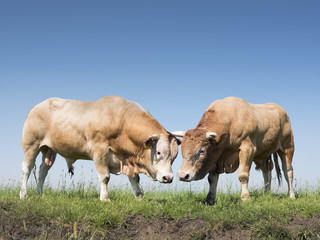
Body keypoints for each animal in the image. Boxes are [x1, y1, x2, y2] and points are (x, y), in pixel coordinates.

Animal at [20, 95, 180, 201]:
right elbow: (105, 177)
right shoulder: (100, 151)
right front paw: (105, 198)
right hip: (31, 145)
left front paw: (139, 197)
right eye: (158, 153)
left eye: (174, 157)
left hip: (49, 150)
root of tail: (38, 105)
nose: (168, 178)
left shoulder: (126, 158)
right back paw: (23, 194)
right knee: (27, 169)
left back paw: (39, 193)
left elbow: (134, 178)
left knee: (42, 171)